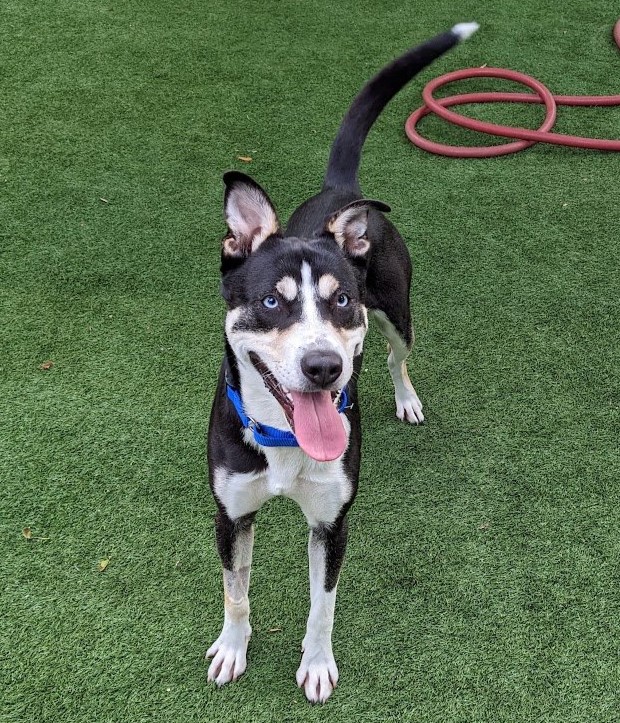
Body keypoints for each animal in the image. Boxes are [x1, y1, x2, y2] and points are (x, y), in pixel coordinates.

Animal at [208, 21, 480, 700]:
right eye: (271, 301)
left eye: (341, 302)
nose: (325, 368)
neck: (283, 438)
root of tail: (343, 194)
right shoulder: (231, 514)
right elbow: (236, 594)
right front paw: (232, 650)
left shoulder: (333, 523)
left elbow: (322, 604)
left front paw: (316, 665)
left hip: (399, 313)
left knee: (396, 357)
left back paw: (406, 399)